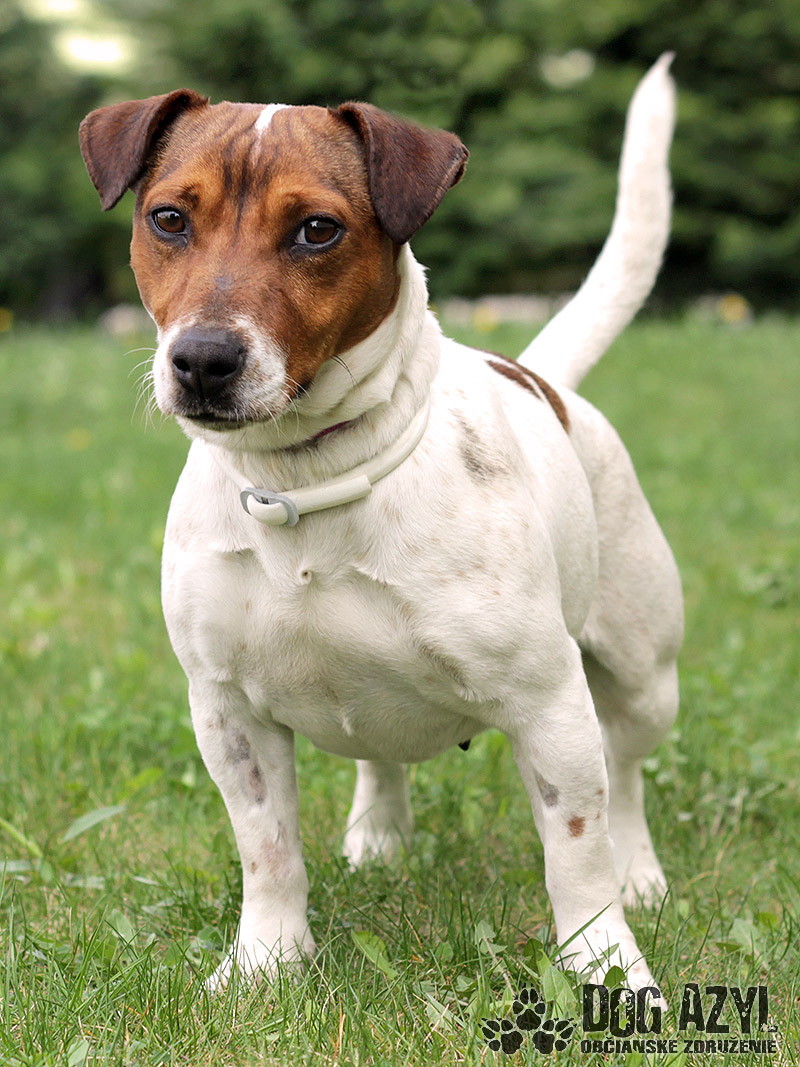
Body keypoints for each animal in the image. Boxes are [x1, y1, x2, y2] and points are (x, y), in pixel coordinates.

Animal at [79, 54, 682, 994]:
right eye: (168, 218)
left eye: (317, 230)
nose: (203, 359)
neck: (304, 479)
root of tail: (541, 376)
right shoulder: (226, 710)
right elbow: (268, 847)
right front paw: (266, 962)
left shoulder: (548, 702)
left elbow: (576, 855)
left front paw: (608, 970)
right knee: (381, 753)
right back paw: (380, 834)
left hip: (642, 671)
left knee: (625, 772)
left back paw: (641, 869)